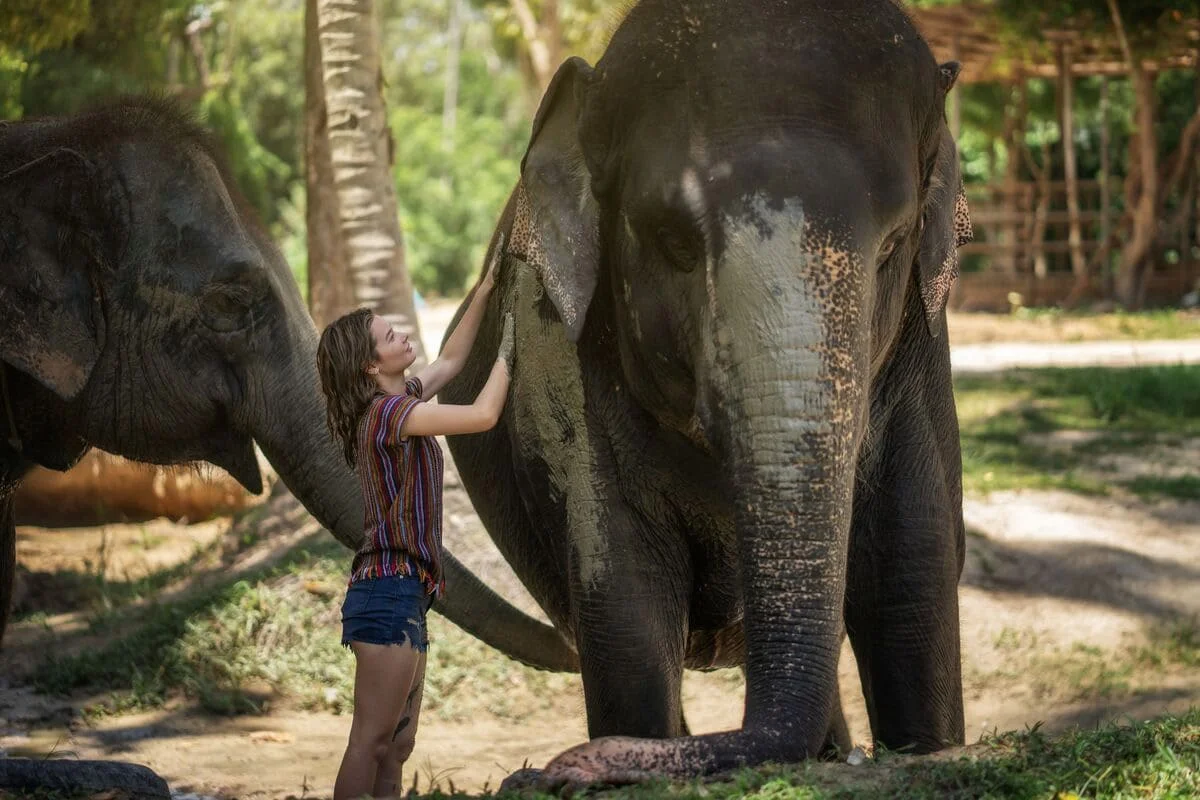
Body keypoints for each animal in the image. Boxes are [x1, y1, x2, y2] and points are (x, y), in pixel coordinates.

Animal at [439, 0, 974, 784]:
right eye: (674, 242)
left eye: (892, 245)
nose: (548, 771)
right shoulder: (561, 351)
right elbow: (626, 605)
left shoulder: (919, 351)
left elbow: (910, 575)